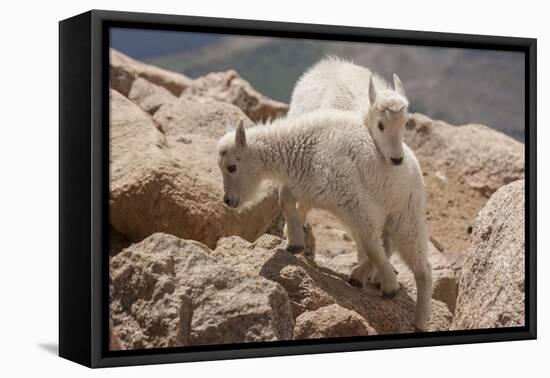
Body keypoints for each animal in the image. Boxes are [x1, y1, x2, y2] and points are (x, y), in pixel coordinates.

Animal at [218, 110, 434, 330]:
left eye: (231, 167)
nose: (228, 201)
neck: (300, 148)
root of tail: (414, 166)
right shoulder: (309, 187)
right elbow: (285, 199)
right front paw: (295, 243)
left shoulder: (356, 200)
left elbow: (371, 247)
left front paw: (391, 287)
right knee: (387, 243)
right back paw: (359, 276)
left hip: (405, 214)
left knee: (420, 266)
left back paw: (419, 320)